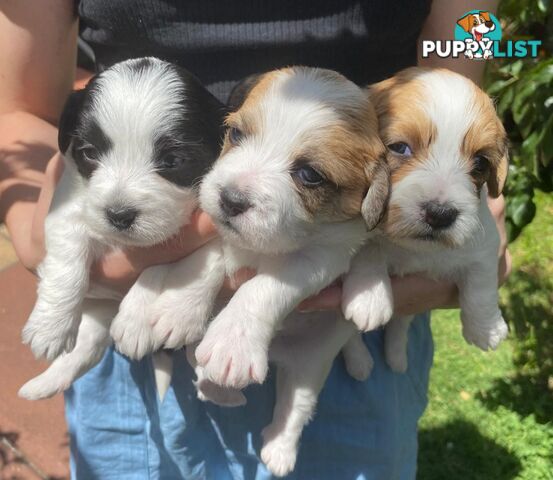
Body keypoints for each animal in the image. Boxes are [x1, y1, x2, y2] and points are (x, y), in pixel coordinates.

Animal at [19, 56, 225, 400]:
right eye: (89, 153)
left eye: (172, 161)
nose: (118, 215)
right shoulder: (69, 205)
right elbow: (67, 263)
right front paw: (50, 325)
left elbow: (165, 264)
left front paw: (140, 320)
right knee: (86, 349)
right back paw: (42, 384)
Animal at [340, 66, 508, 372]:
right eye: (399, 148)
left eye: (480, 163)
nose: (441, 214)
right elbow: (368, 248)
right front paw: (370, 296)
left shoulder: (484, 243)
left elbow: (481, 283)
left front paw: (486, 327)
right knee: (349, 339)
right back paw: (360, 363)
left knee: (400, 324)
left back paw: (396, 358)